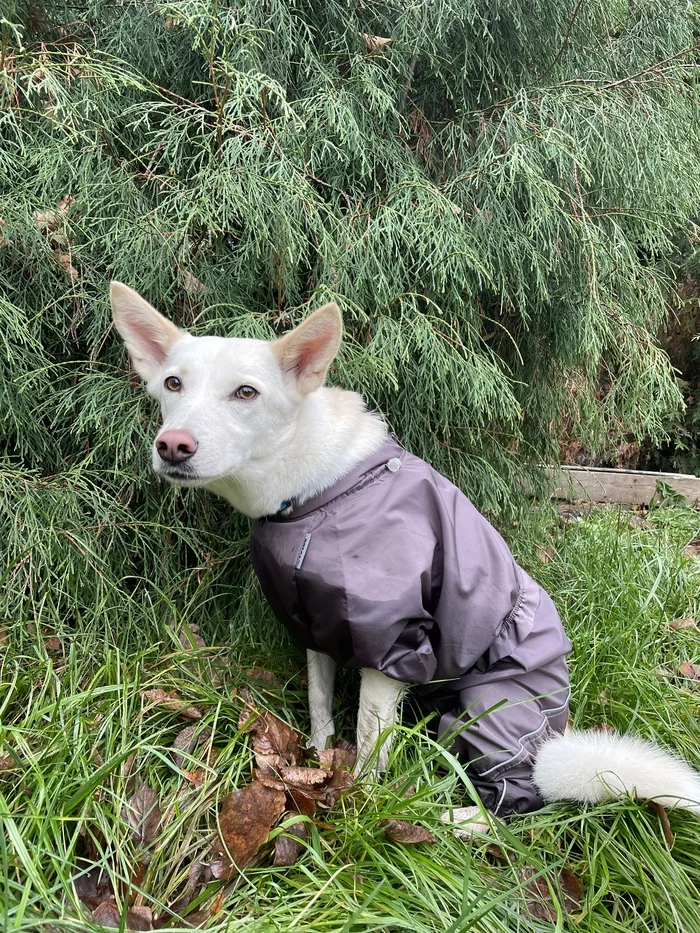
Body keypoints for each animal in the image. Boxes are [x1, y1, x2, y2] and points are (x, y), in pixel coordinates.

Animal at [112, 282, 700, 832]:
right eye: (173, 384)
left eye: (246, 392)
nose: (173, 445)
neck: (313, 498)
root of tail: (552, 738)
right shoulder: (317, 627)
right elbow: (321, 706)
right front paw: (318, 763)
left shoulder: (391, 646)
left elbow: (369, 738)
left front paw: (358, 806)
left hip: (491, 707)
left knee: (510, 806)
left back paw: (435, 820)